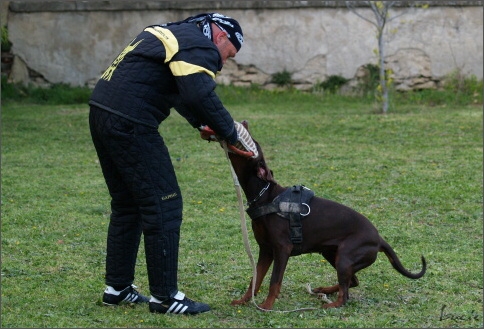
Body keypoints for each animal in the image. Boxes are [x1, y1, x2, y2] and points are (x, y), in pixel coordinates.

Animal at [226, 120, 424, 308]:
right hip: (331, 254)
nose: (244, 122)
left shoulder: (282, 249)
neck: (265, 196)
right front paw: (243, 301)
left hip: (344, 258)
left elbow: (274, 281)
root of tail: (379, 239)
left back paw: (330, 304)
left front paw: (266, 306)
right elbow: (255, 280)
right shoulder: (266, 250)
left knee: (346, 295)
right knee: (352, 281)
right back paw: (324, 291)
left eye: (254, 143)